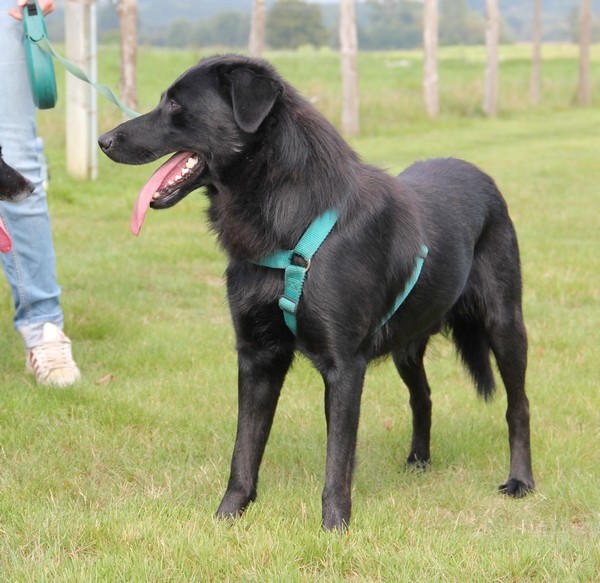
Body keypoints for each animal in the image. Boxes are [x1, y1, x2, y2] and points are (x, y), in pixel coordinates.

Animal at [98, 56, 536, 532]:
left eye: (176, 103)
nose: (103, 141)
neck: (289, 220)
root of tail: (479, 174)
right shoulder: (257, 357)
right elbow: (244, 449)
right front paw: (227, 516)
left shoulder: (344, 367)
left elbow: (338, 459)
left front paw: (334, 528)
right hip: (406, 347)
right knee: (422, 397)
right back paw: (419, 461)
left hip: (504, 325)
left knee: (518, 405)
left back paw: (520, 480)